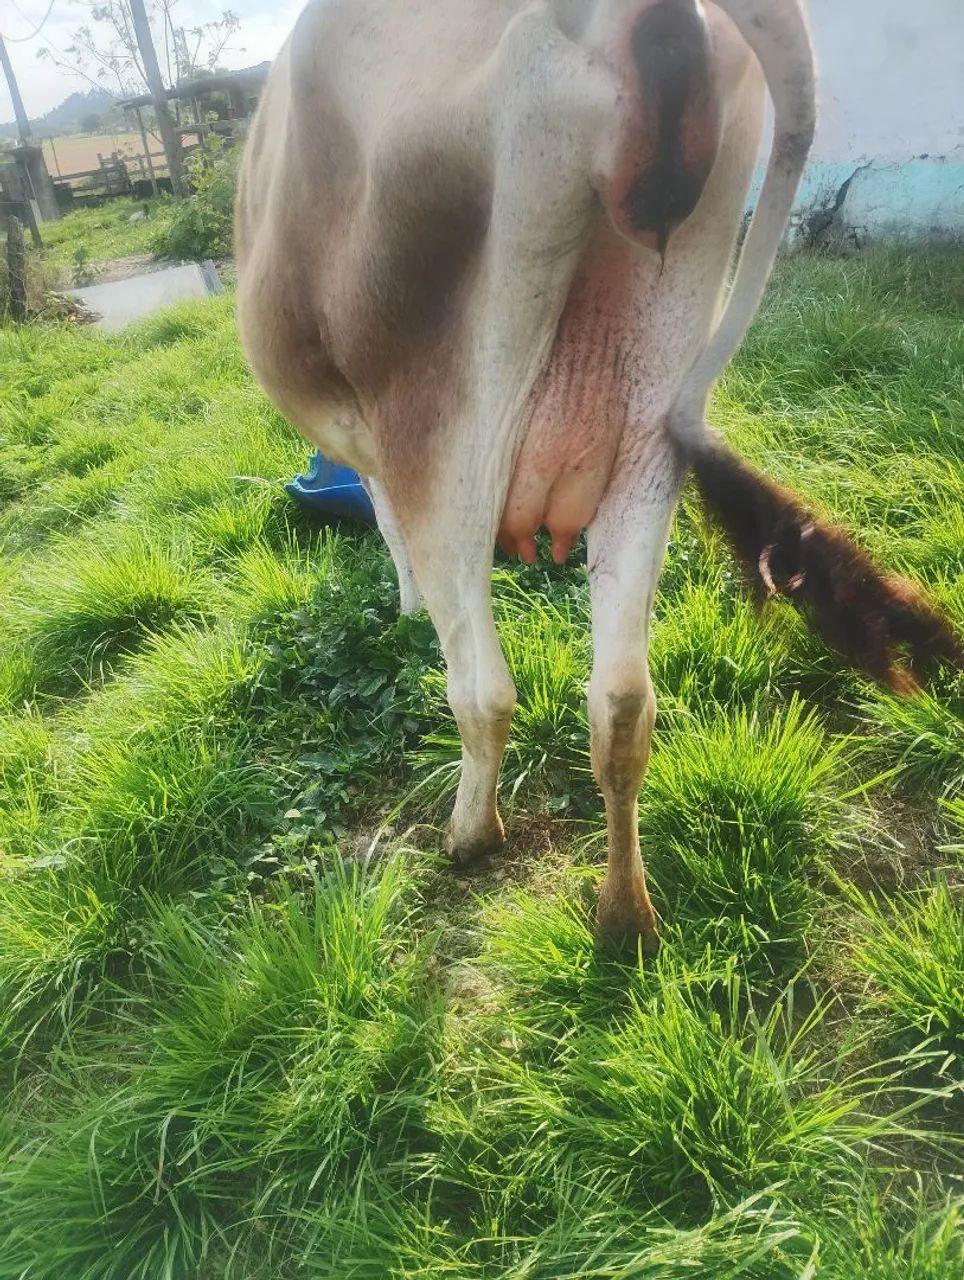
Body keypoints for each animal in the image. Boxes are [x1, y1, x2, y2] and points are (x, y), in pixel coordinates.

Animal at [236, 0, 962, 954]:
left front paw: (402, 604)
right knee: (622, 699)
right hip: (653, 410)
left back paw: (471, 833)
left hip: (445, 429)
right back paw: (624, 911)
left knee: (483, 688)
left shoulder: (379, 447)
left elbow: (388, 527)